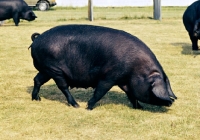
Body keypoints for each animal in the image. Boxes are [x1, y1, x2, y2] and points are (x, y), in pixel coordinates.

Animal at [29, 24, 177, 110]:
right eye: (154, 89)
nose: (171, 102)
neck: (136, 69)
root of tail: (37, 39)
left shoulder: (124, 81)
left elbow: (131, 95)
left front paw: (139, 108)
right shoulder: (109, 76)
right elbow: (100, 91)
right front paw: (88, 107)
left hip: (47, 69)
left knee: (37, 80)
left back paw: (36, 99)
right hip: (55, 69)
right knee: (63, 86)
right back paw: (76, 105)